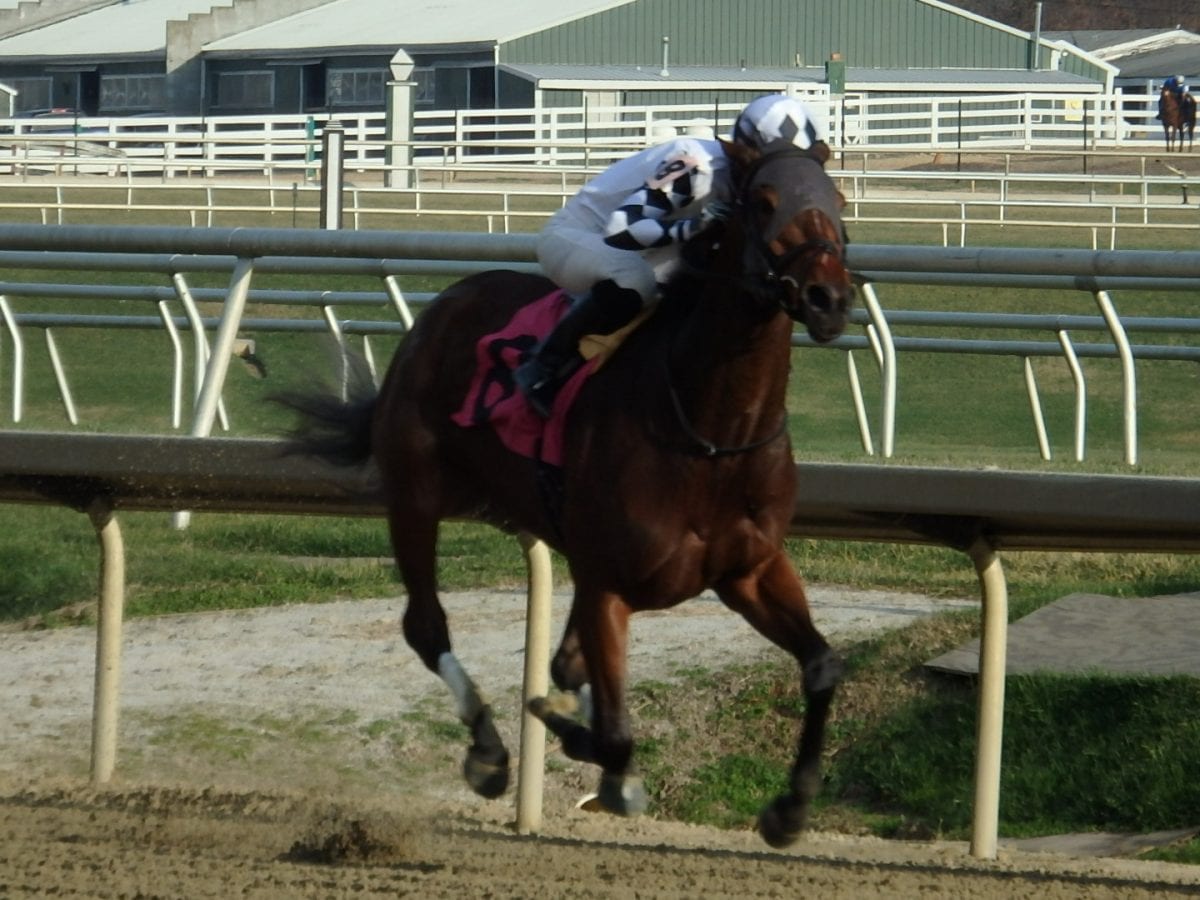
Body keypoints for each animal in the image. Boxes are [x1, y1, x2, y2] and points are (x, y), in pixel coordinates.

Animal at [285, 137, 859, 849]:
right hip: (416, 497)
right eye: (765, 201)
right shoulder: (609, 583)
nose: (829, 298)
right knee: (425, 624)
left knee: (558, 659)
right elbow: (612, 733)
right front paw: (583, 748)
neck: (710, 433)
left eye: (837, 201)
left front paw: (791, 807)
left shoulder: (749, 570)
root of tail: (440, 310)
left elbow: (821, 666)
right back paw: (488, 750)